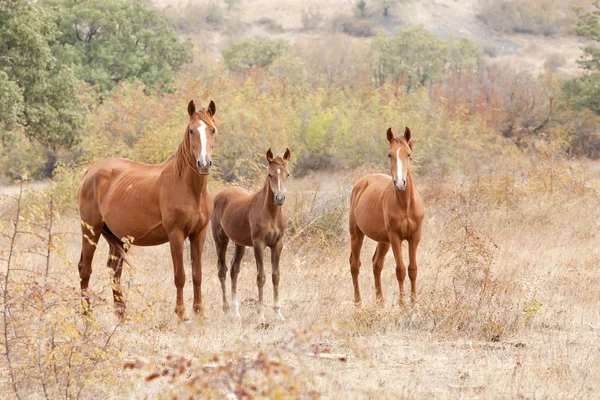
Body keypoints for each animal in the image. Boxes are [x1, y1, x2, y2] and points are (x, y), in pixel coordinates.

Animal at [77, 100, 217, 322]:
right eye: (191, 130)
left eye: (212, 130)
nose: (204, 164)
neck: (189, 187)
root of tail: (91, 171)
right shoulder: (176, 235)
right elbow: (180, 275)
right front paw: (181, 313)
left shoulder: (199, 234)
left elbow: (197, 274)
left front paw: (199, 312)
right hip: (91, 230)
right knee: (85, 268)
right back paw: (87, 314)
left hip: (119, 237)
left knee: (114, 270)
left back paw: (121, 312)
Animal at [212, 148, 292, 322]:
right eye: (270, 174)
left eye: (287, 174)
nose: (280, 198)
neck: (271, 213)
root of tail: (221, 194)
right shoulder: (258, 244)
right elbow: (261, 277)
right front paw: (261, 315)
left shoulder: (278, 244)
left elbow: (276, 275)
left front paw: (278, 313)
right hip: (220, 240)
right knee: (222, 270)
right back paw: (226, 310)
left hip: (239, 243)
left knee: (234, 270)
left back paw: (236, 312)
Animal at [350, 126, 424, 304]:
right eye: (389, 154)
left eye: (408, 154)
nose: (400, 183)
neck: (405, 206)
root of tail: (361, 183)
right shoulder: (395, 237)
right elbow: (401, 270)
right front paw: (403, 305)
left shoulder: (415, 236)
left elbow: (412, 269)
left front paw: (414, 304)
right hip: (356, 234)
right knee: (355, 265)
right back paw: (358, 303)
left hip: (383, 241)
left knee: (376, 264)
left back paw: (380, 302)